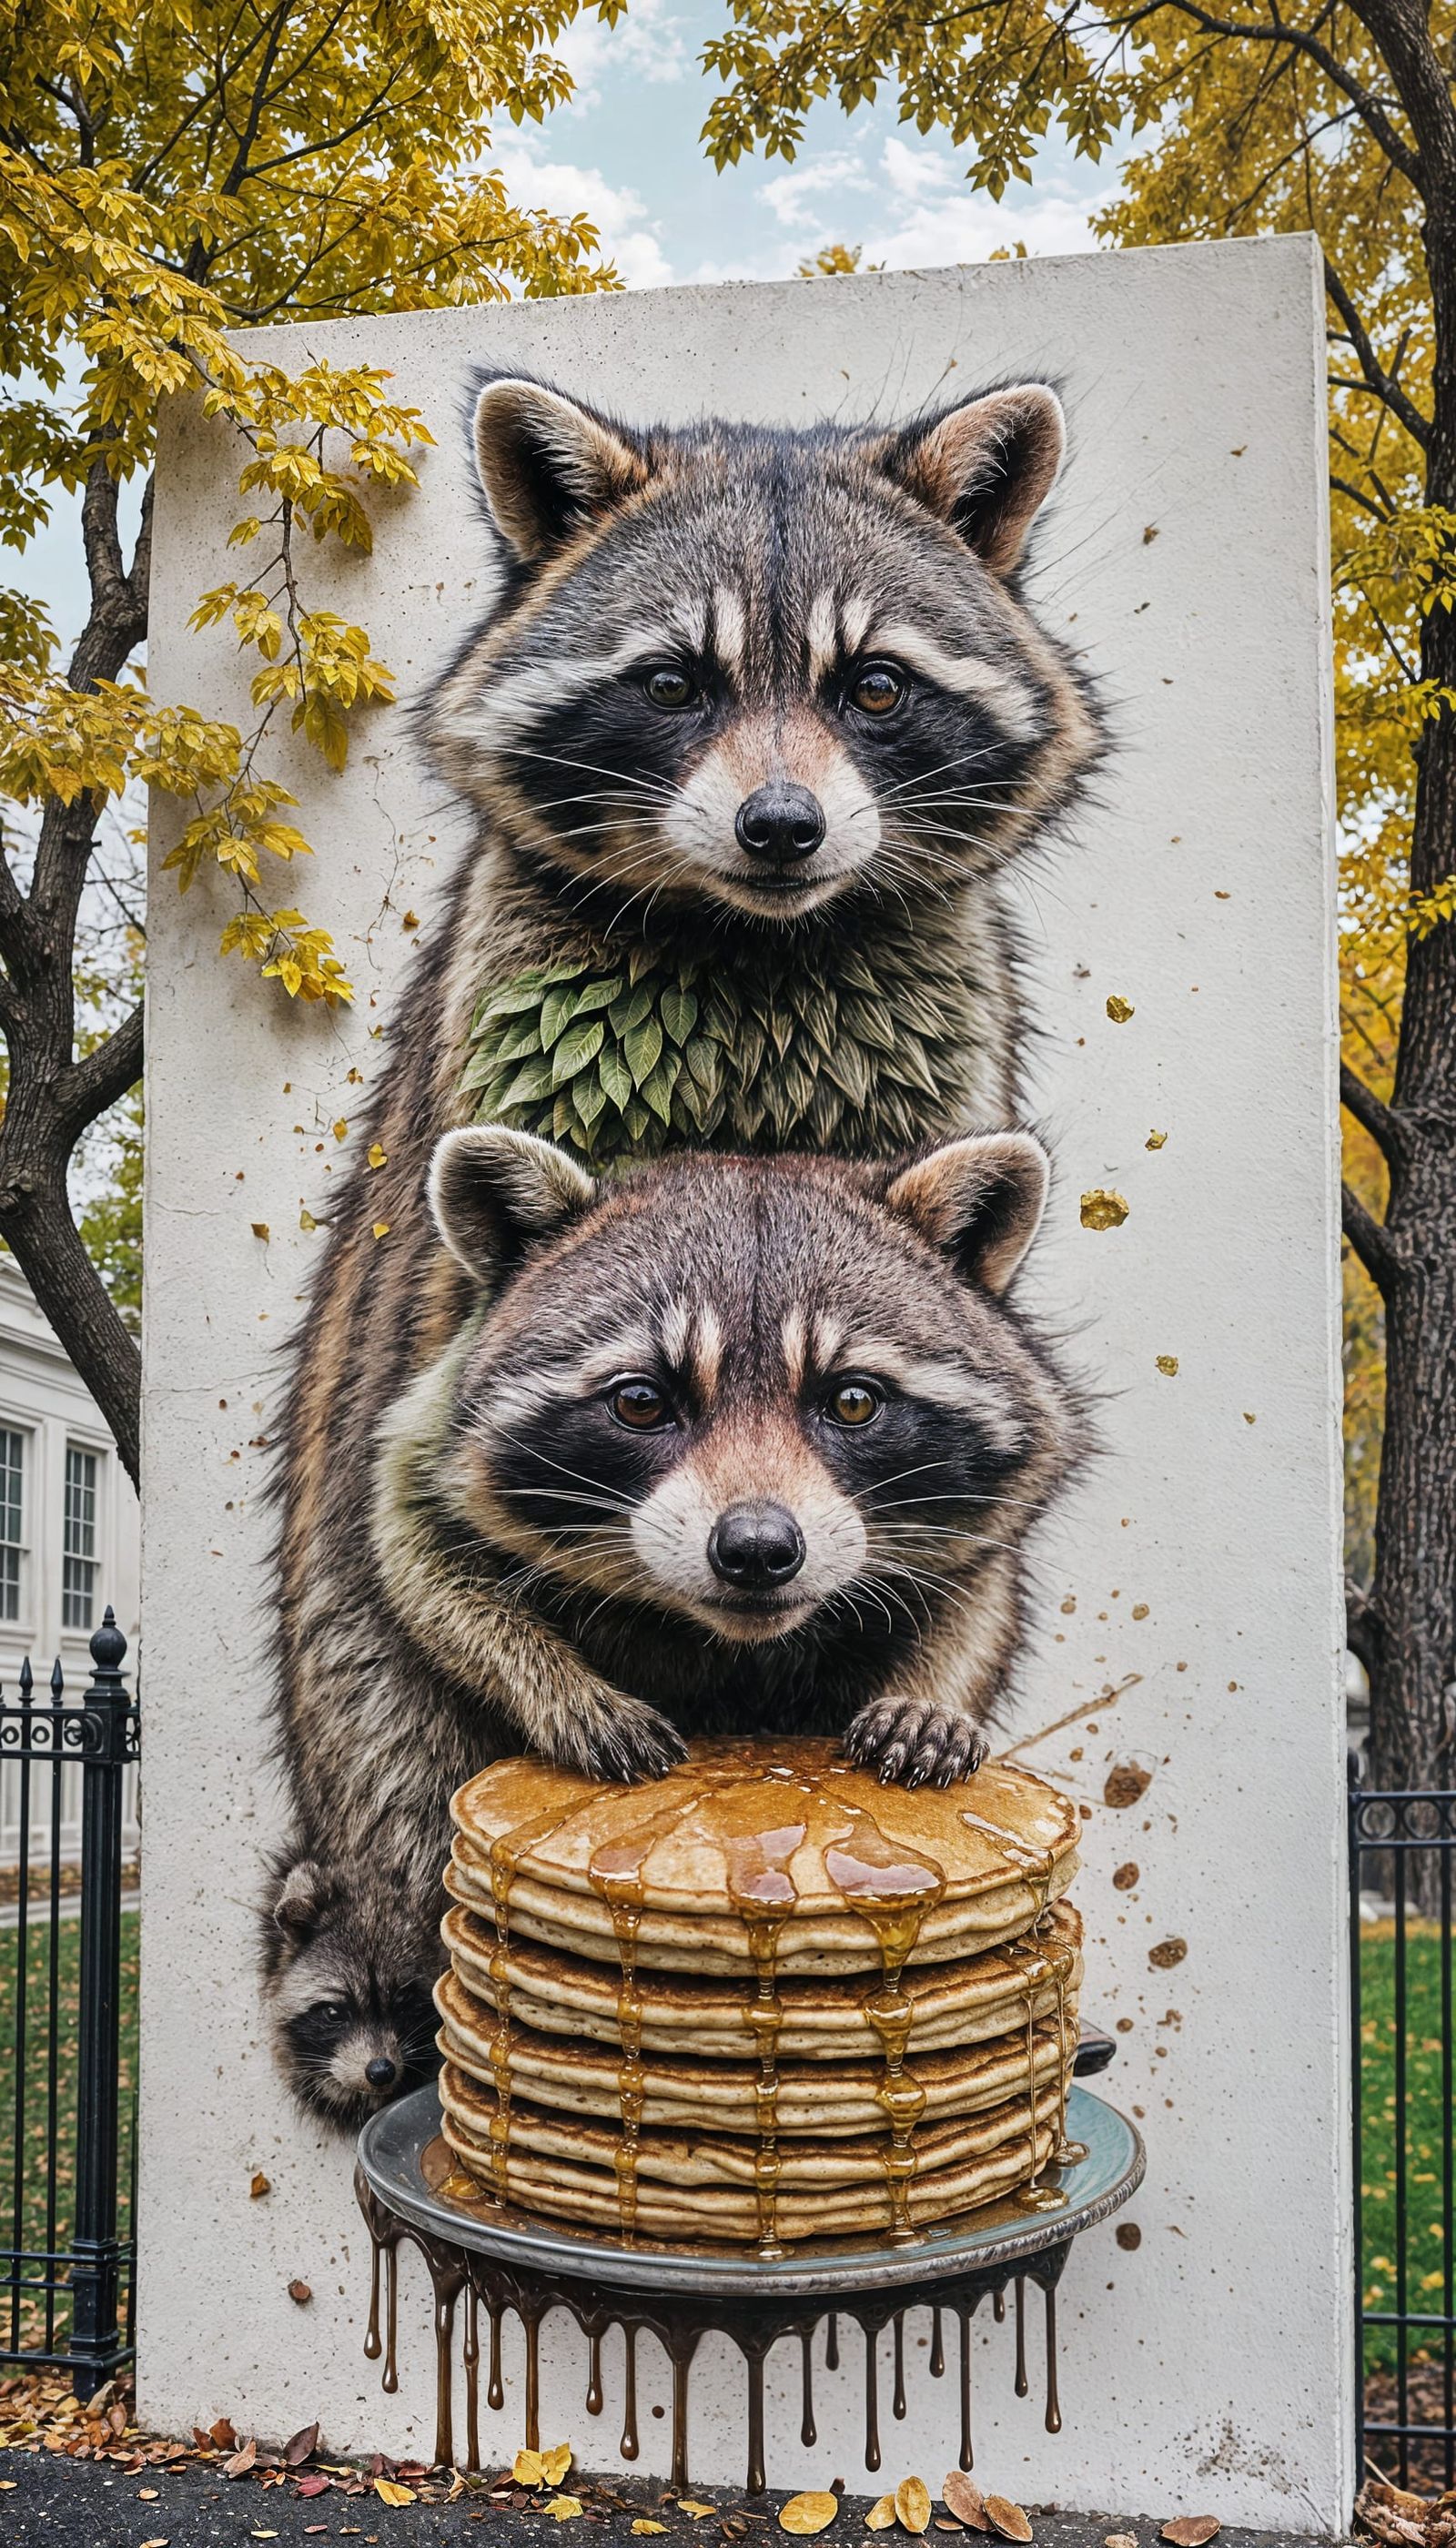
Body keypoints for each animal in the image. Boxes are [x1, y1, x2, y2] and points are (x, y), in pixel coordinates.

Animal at [282, 1123, 1085, 1907]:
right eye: (642, 1402)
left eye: (853, 1401)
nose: (757, 1549)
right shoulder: (426, 1430)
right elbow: (425, 1564)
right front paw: (554, 1684)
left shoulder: (986, 1509)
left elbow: (977, 1601)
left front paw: (931, 1698)